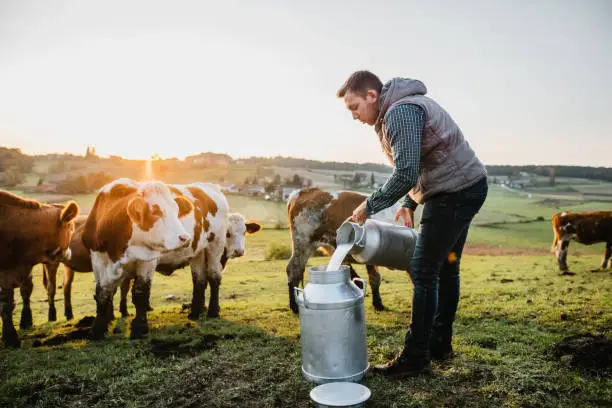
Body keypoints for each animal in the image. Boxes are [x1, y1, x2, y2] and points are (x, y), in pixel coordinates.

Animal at [83, 180, 194, 340]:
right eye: (156, 211)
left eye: (177, 211)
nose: (185, 238)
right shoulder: (97, 261)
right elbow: (103, 294)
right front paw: (97, 329)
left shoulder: (147, 260)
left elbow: (140, 292)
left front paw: (140, 328)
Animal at [286, 186, 402, 314]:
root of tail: (303, 191)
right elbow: (375, 278)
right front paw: (378, 303)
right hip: (303, 243)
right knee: (293, 270)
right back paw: (294, 306)